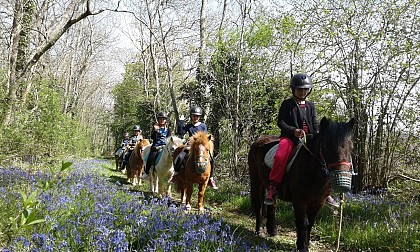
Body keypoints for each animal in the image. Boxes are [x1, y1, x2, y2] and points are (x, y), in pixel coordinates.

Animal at [249, 117, 354, 251]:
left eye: (351, 146)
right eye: (327, 145)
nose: (341, 174)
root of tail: (257, 142)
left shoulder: (318, 202)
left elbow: (311, 222)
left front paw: (306, 244)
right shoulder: (300, 200)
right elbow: (303, 222)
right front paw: (302, 246)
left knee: (272, 204)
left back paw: (272, 231)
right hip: (256, 181)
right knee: (259, 205)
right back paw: (260, 230)